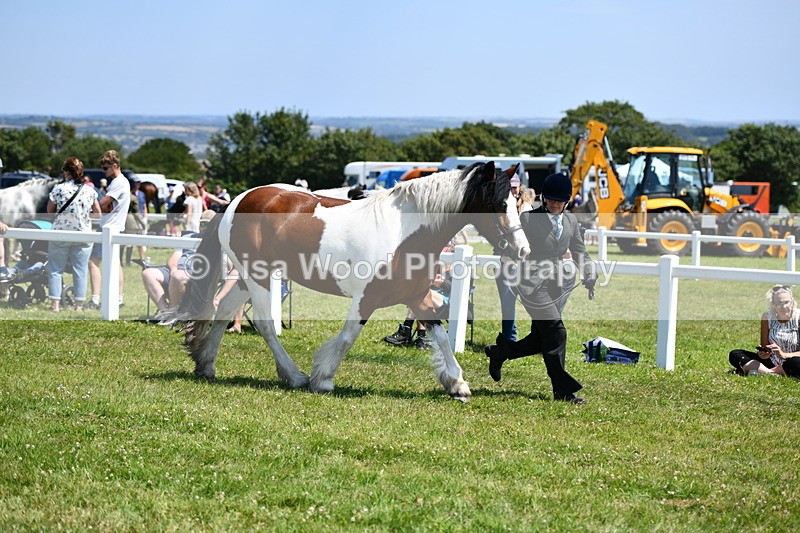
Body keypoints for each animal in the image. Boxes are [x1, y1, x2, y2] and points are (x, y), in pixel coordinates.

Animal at [168, 162, 530, 402]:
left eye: (517, 203)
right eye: (498, 204)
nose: (522, 250)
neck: (407, 232)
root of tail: (236, 201)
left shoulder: (418, 297)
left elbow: (440, 335)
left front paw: (457, 384)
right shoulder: (366, 299)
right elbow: (347, 337)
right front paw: (323, 378)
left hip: (246, 277)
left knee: (222, 311)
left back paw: (206, 364)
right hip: (258, 276)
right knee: (265, 322)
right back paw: (295, 375)